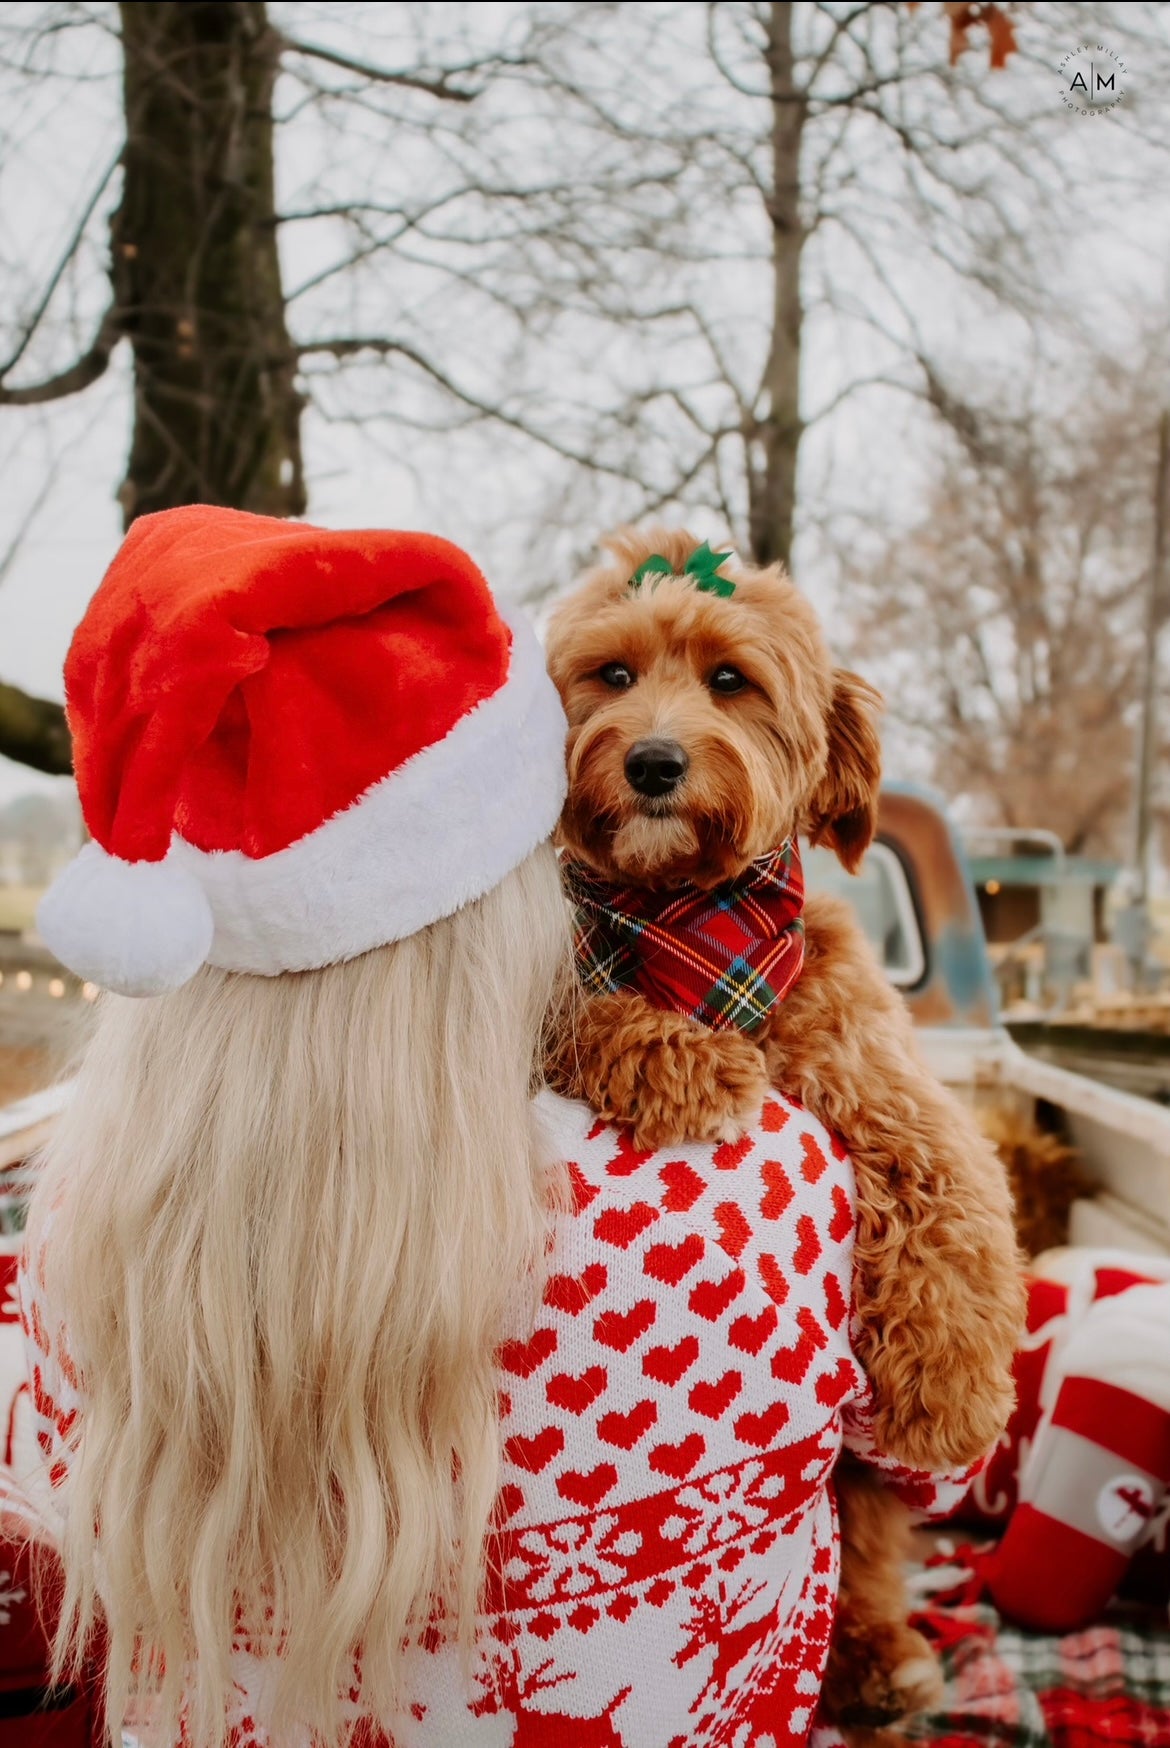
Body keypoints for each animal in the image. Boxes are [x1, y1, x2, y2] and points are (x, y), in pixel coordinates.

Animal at [542, 524, 1014, 1727]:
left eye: (730, 680)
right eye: (612, 674)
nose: (653, 763)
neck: (691, 924)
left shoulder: (875, 1066)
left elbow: (949, 1186)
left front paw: (954, 1389)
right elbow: (588, 1013)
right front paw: (689, 1062)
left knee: (875, 1557)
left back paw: (881, 1659)